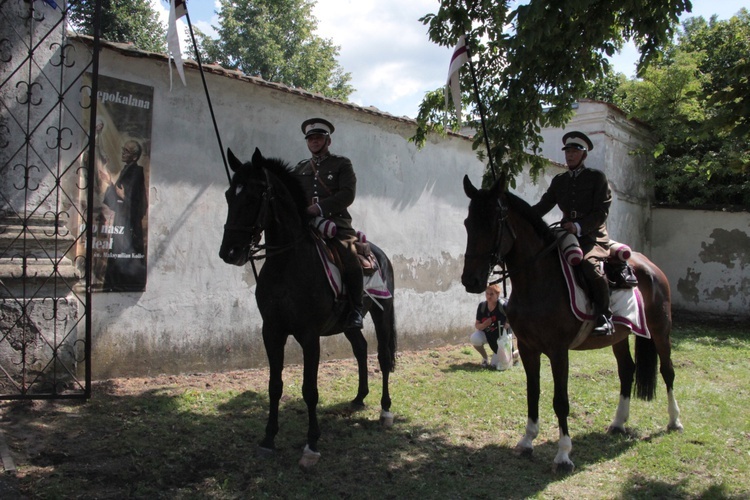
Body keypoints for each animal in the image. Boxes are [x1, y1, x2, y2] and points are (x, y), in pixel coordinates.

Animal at [219, 148, 400, 468]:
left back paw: (385, 410)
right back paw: (359, 398)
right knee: (361, 349)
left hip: (382, 312)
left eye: (253, 196)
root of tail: (378, 252)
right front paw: (268, 439)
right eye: (230, 195)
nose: (229, 252)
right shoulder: (272, 332)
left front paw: (311, 444)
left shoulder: (309, 335)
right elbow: (274, 385)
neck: (287, 263)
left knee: (382, 356)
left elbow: (309, 390)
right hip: (349, 323)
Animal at [462, 176, 684, 472]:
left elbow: (560, 401)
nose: (471, 281)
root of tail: (649, 265)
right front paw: (527, 441)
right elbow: (533, 393)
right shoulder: (529, 348)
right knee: (627, 370)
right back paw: (618, 423)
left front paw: (564, 455)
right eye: (468, 223)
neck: (538, 280)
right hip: (620, 336)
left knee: (667, 371)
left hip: (661, 330)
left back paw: (674, 420)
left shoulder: (558, 352)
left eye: (493, 223)